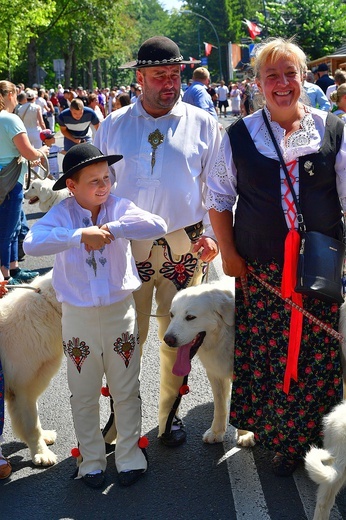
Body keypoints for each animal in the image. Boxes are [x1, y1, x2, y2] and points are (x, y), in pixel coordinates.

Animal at [162, 280, 254, 446]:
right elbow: (220, 405)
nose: (168, 340)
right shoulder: (214, 372)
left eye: (190, 317)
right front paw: (216, 432)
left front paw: (246, 433)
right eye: (172, 315)